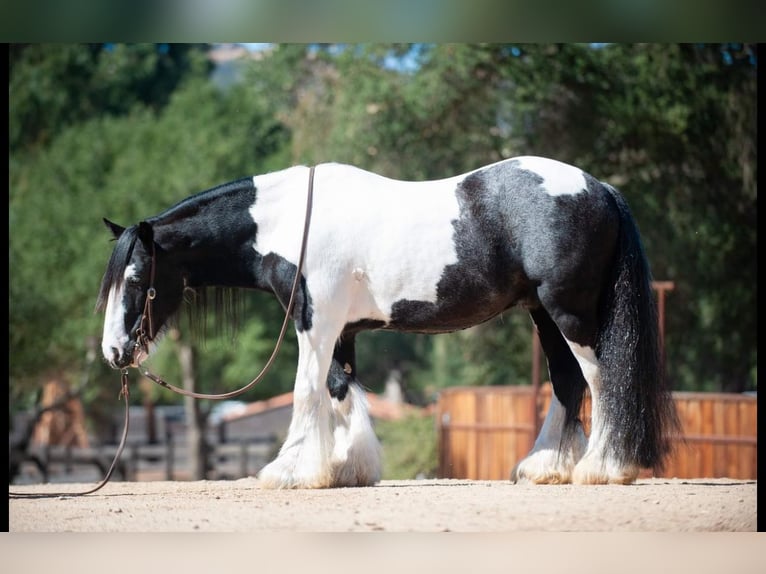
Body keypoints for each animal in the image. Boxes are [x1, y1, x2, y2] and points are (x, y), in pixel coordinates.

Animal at [96, 156, 680, 490]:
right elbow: (340, 390)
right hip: (542, 313)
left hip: (568, 312)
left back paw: (602, 467)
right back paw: (546, 468)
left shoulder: (315, 321)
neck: (288, 221)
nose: (114, 353)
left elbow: (307, 390)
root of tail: (600, 188)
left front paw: (288, 471)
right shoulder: (340, 330)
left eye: (136, 279)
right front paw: (345, 469)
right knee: (566, 382)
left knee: (602, 380)